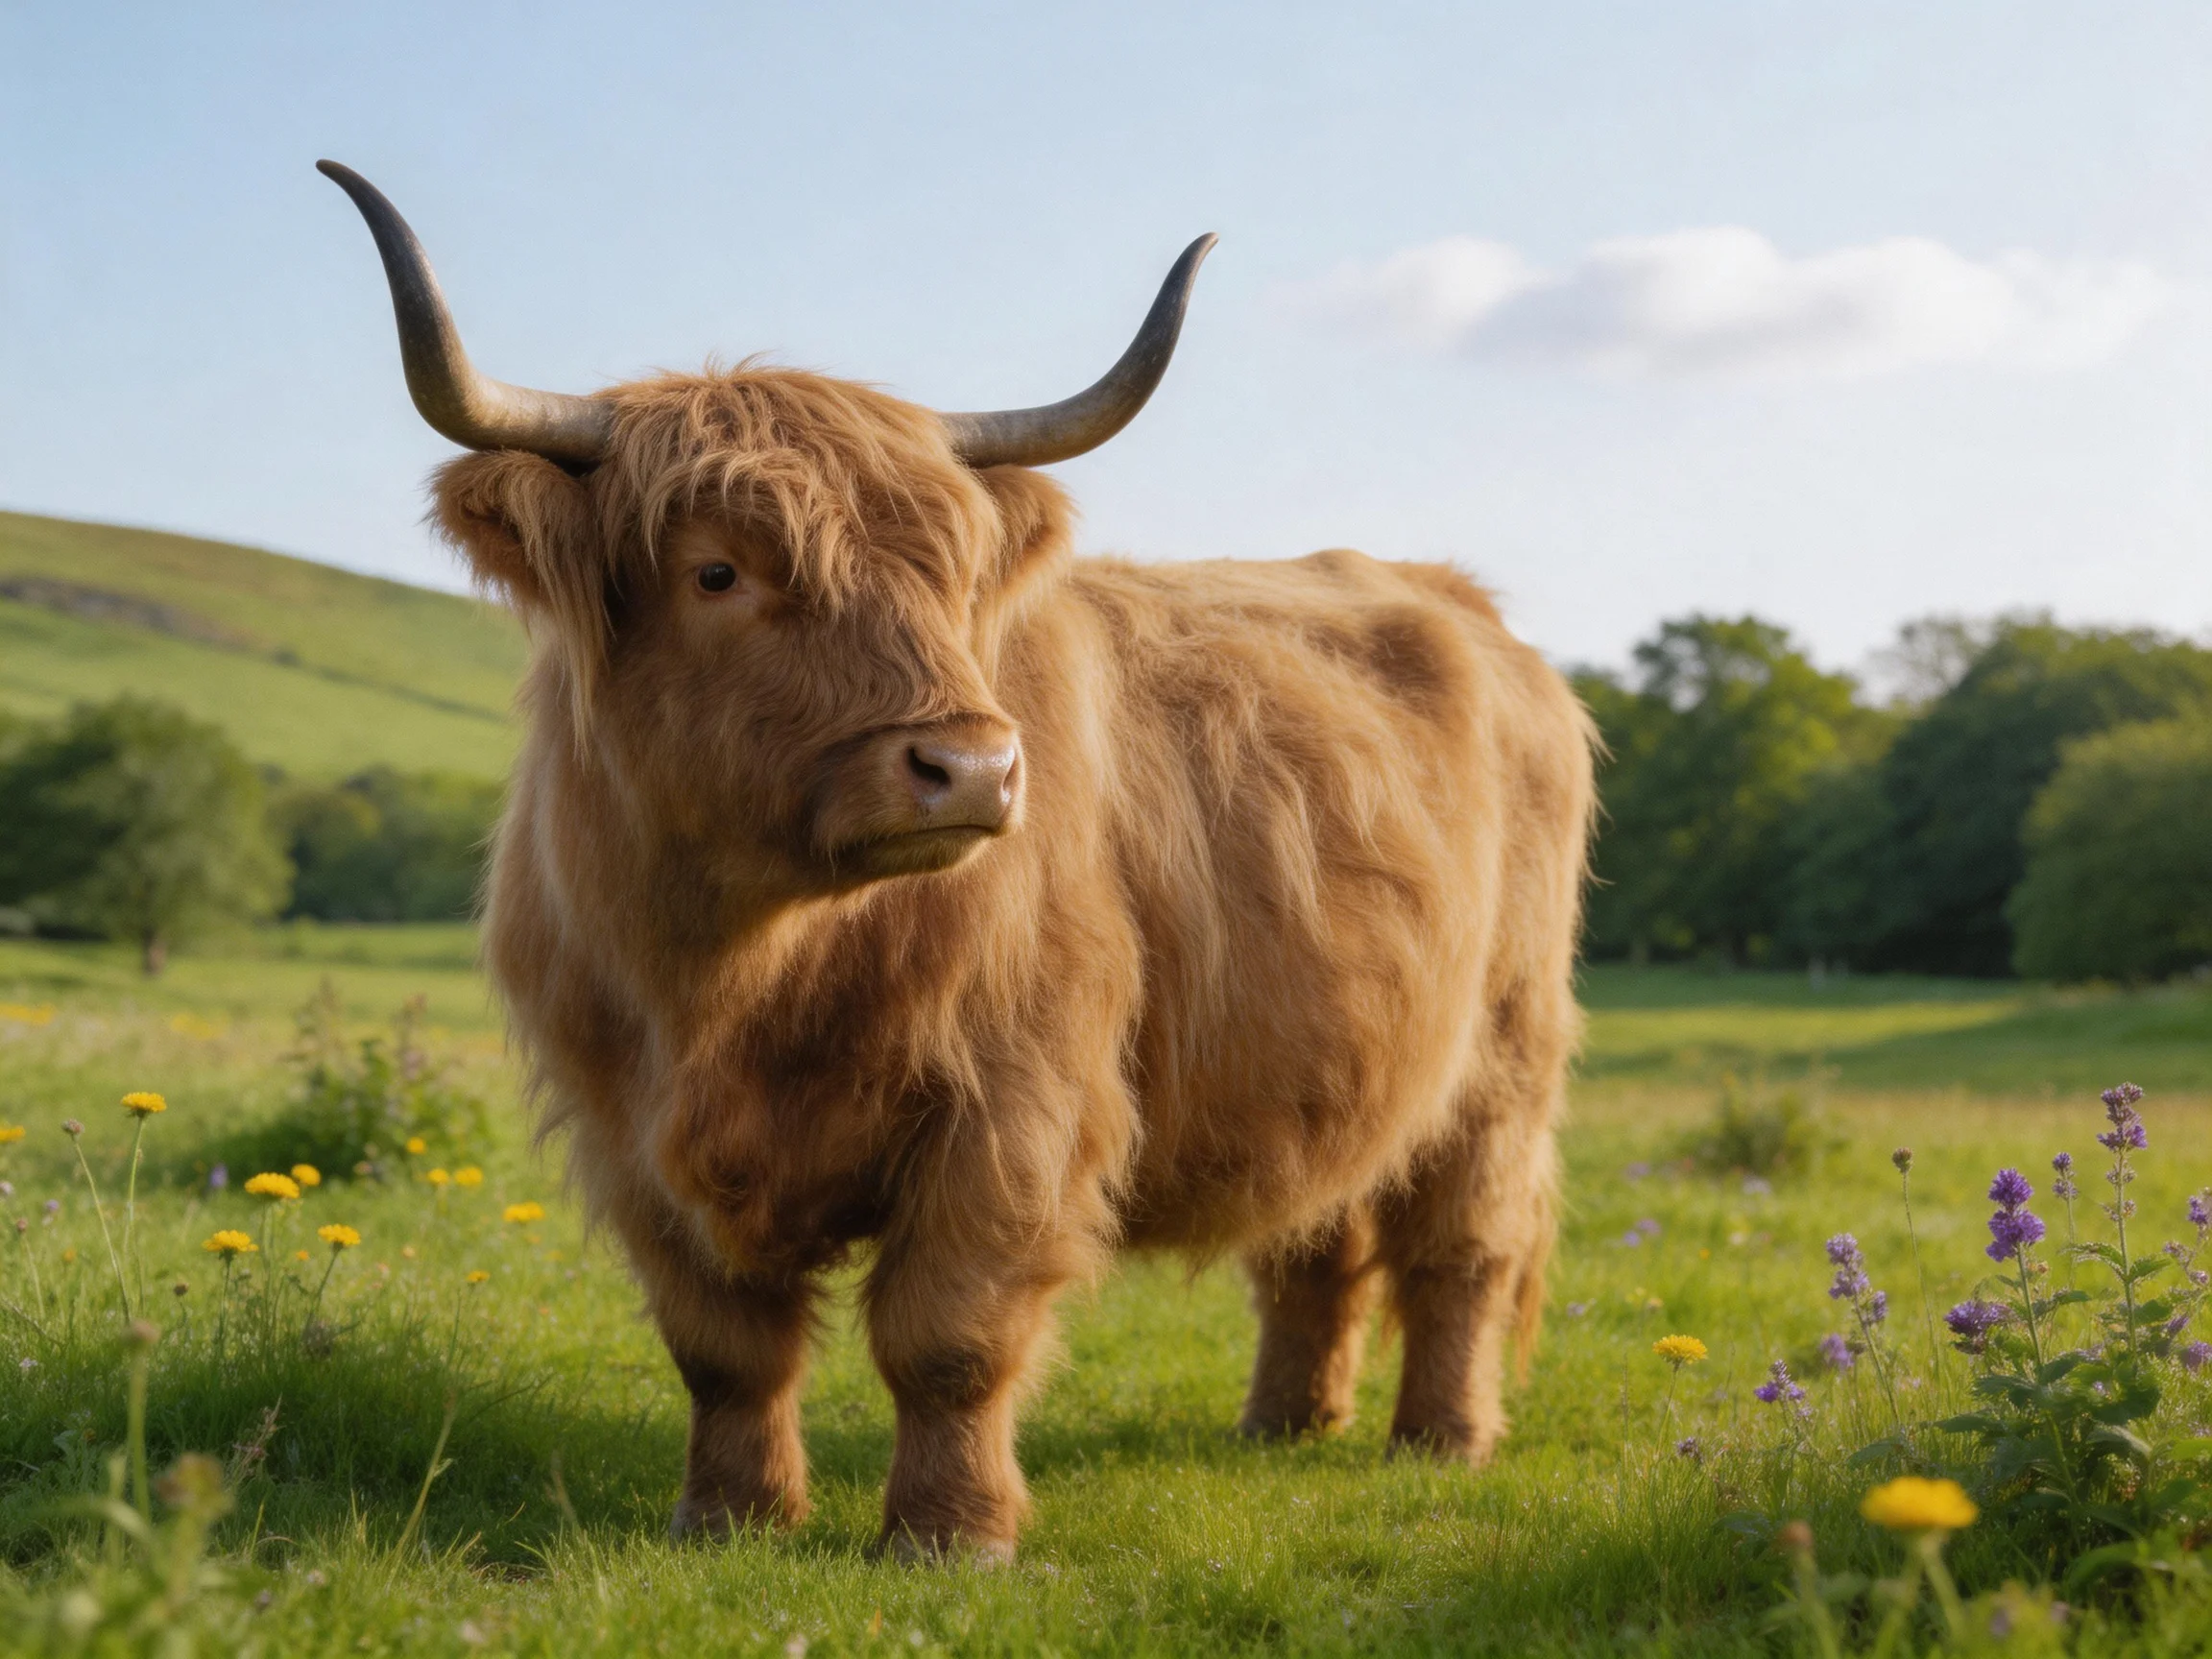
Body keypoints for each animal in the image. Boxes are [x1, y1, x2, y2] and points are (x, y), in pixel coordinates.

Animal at [322, 161, 1594, 1563]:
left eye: (947, 579)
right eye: (717, 572)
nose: (975, 768)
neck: (739, 976)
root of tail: (1464, 604)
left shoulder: (1013, 1103)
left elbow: (950, 1336)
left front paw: (951, 1535)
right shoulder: (631, 1132)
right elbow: (723, 1348)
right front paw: (729, 1515)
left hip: (1504, 1054)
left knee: (1465, 1244)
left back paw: (1444, 1440)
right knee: (1317, 1233)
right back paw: (1285, 1424)